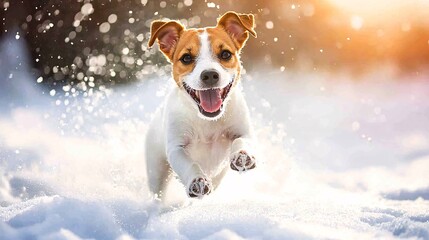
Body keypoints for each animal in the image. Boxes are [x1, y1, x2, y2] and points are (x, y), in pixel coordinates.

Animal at [145, 11, 256, 198]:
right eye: (186, 58)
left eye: (225, 54)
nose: (210, 75)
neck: (207, 121)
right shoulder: (176, 148)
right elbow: (189, 164)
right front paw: (197, 181)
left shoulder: (243, 131)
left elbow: (241, 141)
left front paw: (242, 155)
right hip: (156, 170)